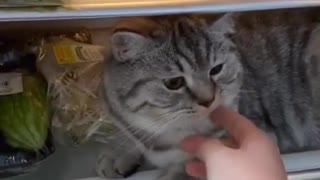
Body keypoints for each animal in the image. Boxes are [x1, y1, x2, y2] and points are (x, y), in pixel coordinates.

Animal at [97, 8, 320, 180]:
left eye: (216, 69)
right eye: (174, 82)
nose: (208, 100)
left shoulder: (259, 133)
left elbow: (189, 168)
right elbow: (131, 137)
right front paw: (119, 153)